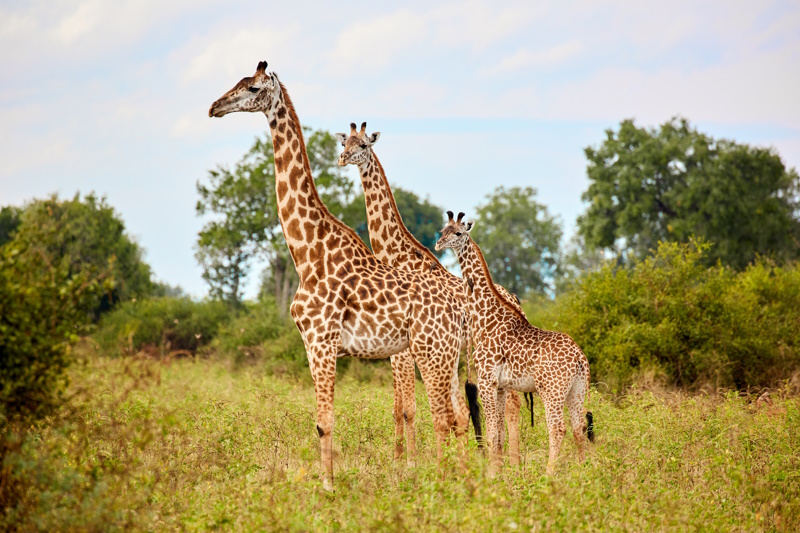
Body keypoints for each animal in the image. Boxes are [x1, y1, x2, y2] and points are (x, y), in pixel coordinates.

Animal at [209, 60, 466, 488]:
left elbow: (326, 422)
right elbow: (325, 421)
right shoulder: (311, 344)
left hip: (433, 354)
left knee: (447, 418)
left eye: (253, 87)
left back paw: (449, 482)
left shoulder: (323, 341)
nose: (214, 107)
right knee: (458, 416)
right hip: (447, 356)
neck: (307, 252)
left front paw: (329, 486)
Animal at [336, 122, 528, 464]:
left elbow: (411, 409)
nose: (343, 158)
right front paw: (402, 459)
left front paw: (409, 462)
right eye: (346, 143)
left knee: (513, 406)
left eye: (364, 145)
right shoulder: (398, 350)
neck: (397, 255)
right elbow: (400, 407)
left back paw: (513, 460)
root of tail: (515, 299)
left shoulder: (403, 351)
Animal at [432, 212, 592, 474]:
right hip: (576, 390)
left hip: (551, 391)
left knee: (558, 429)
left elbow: (491, 432)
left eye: (458, 232)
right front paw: (499, 473)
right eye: (442, 230)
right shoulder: (501, 386)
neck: (485, 315)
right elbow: (499, 435)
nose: (438, 244)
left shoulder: (486, 380)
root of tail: (580, 358)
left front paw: (490, 475)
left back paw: (549, 474)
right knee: (578, 428)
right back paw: (582, 472)